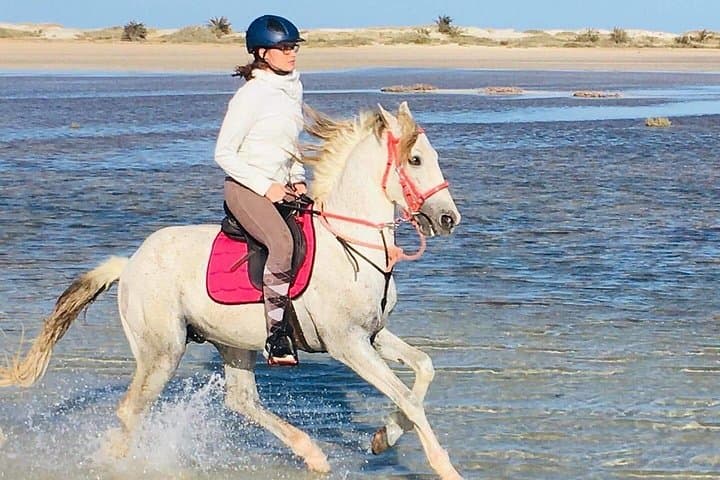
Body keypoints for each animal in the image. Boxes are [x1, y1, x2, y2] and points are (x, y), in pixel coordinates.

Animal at [0, 102, 463, 479]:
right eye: (415, 159)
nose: (449, 219)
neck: (350, 243)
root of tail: (129, 263)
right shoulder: (347, 343)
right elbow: (408, 397)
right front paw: (444, 466)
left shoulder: (373, 334)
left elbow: (423, 369)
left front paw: (384, 438)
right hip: (162, 351)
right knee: (132, 411)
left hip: (233, 342)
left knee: (240, 401)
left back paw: (313, 455)